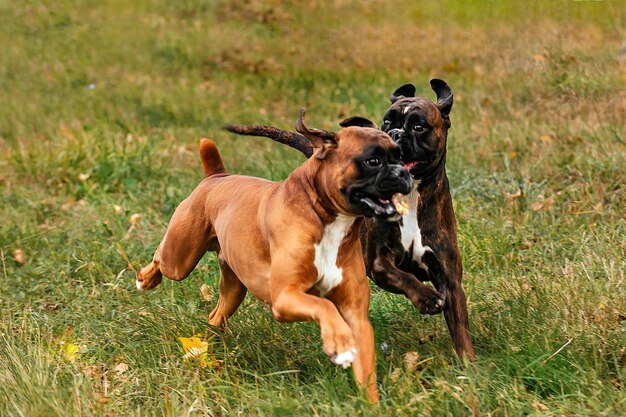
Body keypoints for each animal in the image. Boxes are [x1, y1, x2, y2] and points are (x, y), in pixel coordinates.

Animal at [134, 109, 412, 402]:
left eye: (399, 157)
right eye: (373, 161)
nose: (403, 173)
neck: (323, 215)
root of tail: (217, 177)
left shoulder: (356, 316)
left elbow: (365, 367)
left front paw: (371, 403)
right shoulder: (285, 297)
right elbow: (323, 306)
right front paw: (338, 342)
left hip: (234, 290)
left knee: (216, 315)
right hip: (180, 259)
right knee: (160, 259)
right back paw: (145, 280)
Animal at [224, 79, 472, 360]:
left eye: (419, 126)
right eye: (387, 122)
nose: (395, 134)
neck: (410, 198)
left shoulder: (449, 279)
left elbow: (460, 328)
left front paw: (468, 365)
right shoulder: (379, 264)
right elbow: (405, 278)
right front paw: (427, 298)